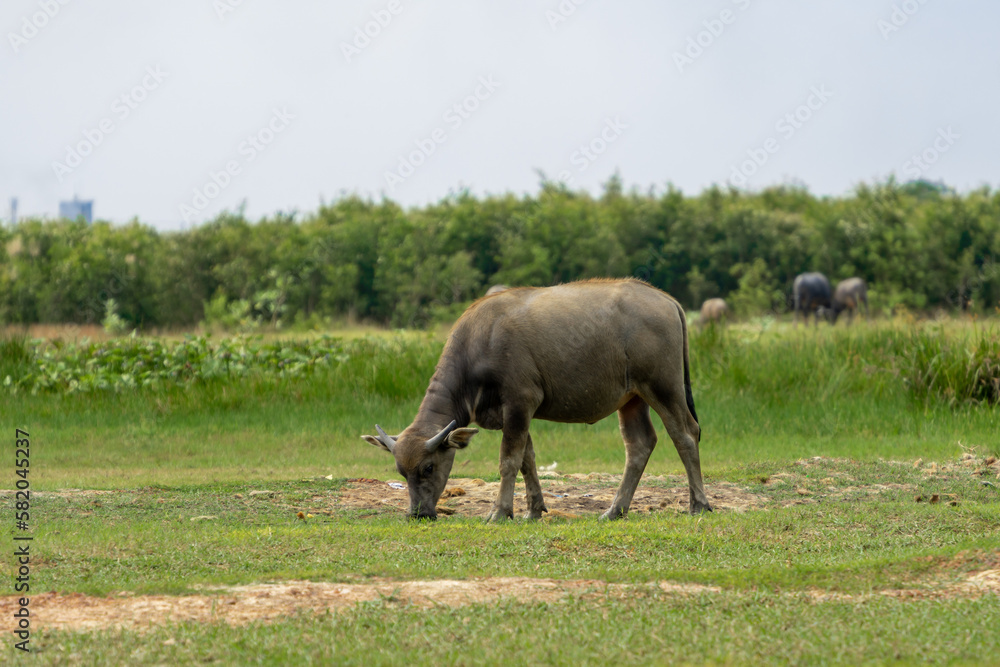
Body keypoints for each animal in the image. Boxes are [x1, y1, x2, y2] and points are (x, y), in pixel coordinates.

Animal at [363, 279, 711, 521]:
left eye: (429, 467)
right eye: (400, 472)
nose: (418, 513)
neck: (481, 343)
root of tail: (666, 299)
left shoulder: (520, 403)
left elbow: (508, 461)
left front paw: (499, 512)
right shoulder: (515, 414)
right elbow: (527, 460)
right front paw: (533, 509)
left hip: (664, 387)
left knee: (685, 433)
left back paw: (699, 504)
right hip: (632, 398)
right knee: (639, 444)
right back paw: (615, 510)